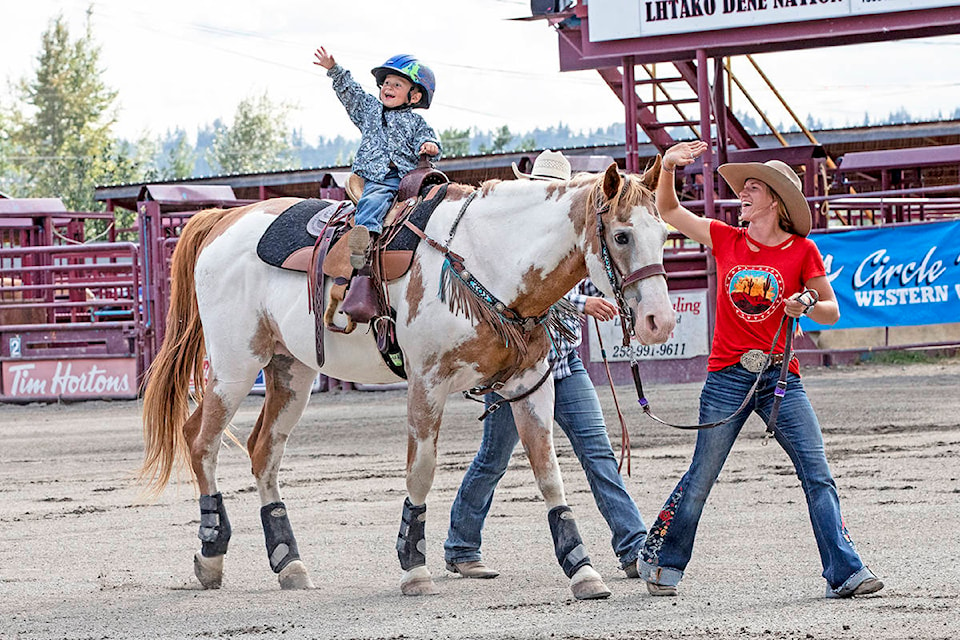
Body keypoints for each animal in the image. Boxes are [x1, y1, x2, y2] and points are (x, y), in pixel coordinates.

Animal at [141, 160, 676, 600]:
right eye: (623, 236)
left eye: (665, 232)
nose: (660, 322)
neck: (486, 260)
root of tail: (222, 221)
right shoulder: (427, 382)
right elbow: (421, 469)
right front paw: (414, 568)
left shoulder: (529, 386)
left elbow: (550, 475)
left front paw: (583, 570)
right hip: (234, 369)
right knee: (202, 442)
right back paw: (211, 557)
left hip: (290, 371)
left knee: (263, 452)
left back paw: (289, 563)